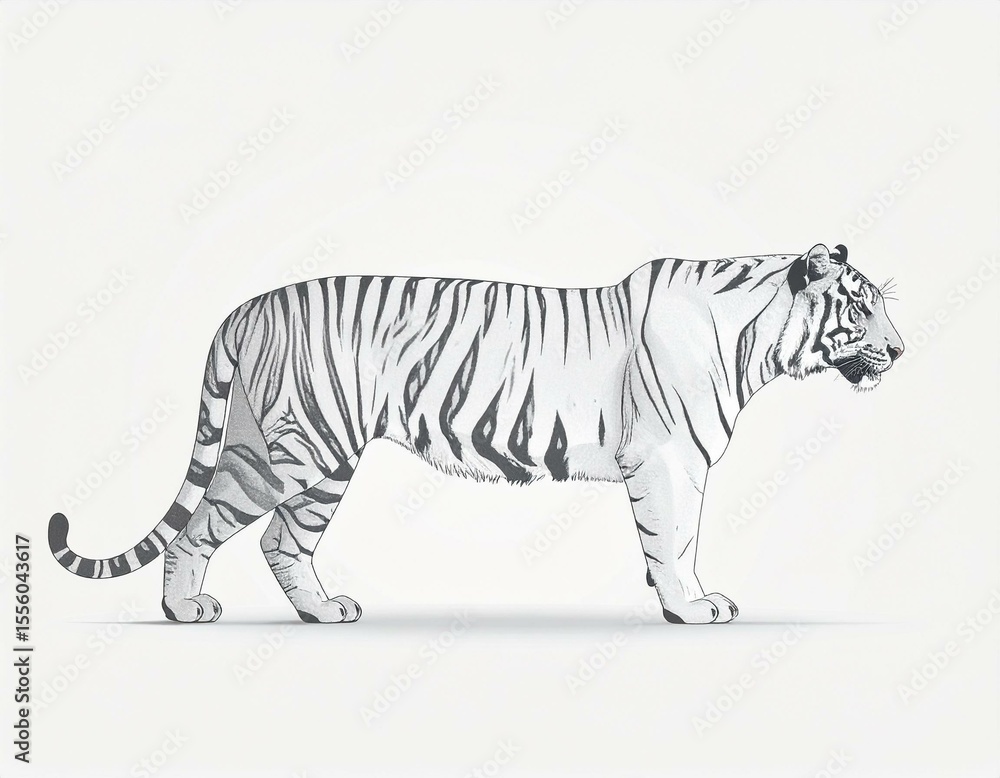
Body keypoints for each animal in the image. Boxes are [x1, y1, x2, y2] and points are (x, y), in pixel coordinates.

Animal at [48, 242, 902, 624]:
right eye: (860, 307)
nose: (900, 350)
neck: (759, 338)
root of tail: (244, 307)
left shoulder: (675, 463)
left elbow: (673, 540)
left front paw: (681, 599)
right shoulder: (668, 460)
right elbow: (675, 539)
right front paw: (690, 609)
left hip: (319, 461)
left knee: (280, 541)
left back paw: (324, 611)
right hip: (286, 454)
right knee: (205, 528)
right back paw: (185, 610)